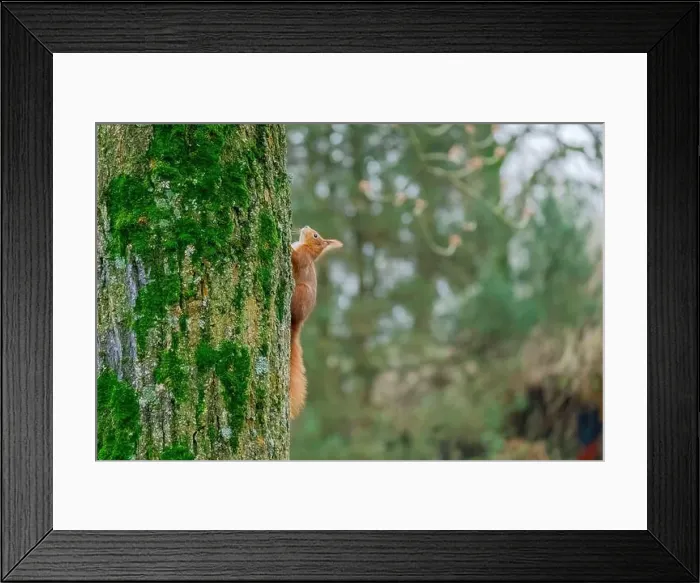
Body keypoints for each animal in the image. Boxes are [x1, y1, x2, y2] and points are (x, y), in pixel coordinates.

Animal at [289, 226, 343, 419]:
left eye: (315, 235)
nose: (306, 227)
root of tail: (298, 322)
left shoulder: (303, 257)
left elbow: (295, 258)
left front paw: (287, 247)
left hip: (300, 293)